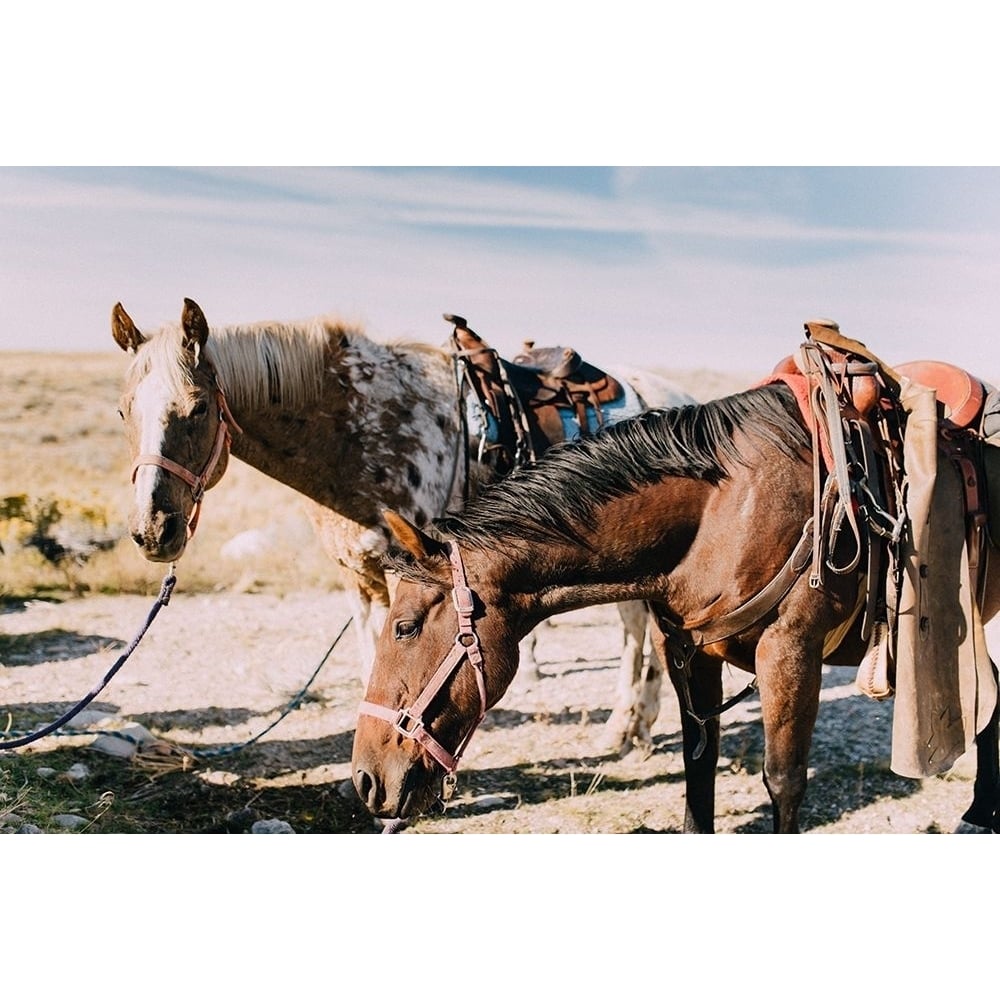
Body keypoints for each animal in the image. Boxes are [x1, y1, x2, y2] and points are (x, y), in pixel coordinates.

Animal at [352, 378, 1000, 832]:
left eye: (405, 627)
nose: (365, 778)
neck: (725, 512)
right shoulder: (688, 652)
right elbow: (698, 769)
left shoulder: (790, 653)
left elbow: (784, 780)